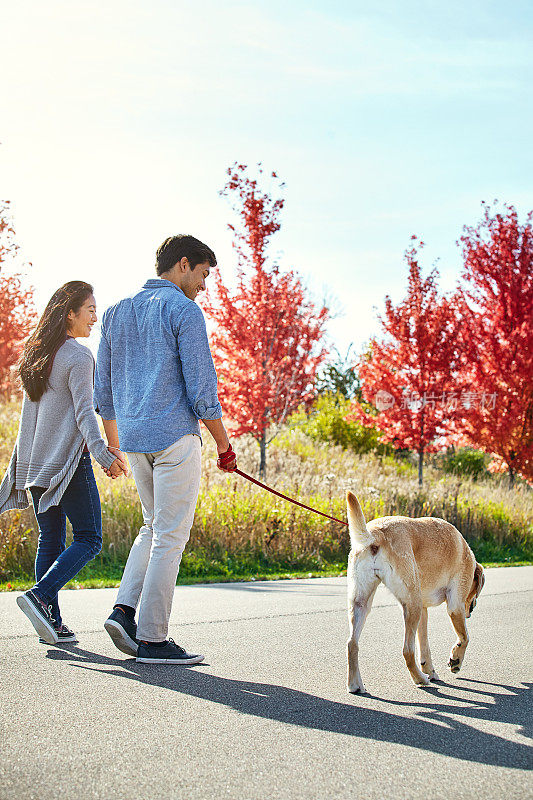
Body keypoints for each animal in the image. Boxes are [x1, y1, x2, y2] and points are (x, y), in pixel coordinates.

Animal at [344, 490, 482, 692]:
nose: (472, 609)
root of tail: (375, 534)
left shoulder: (423, 611)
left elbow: (424, 646)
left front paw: (430, 669)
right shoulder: (454, 607)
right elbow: (464, 637)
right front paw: (455, 661)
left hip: (362, 604)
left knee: (352, 643)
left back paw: (355, 684)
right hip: (412, 605)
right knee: (407, 650)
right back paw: (419, 679)